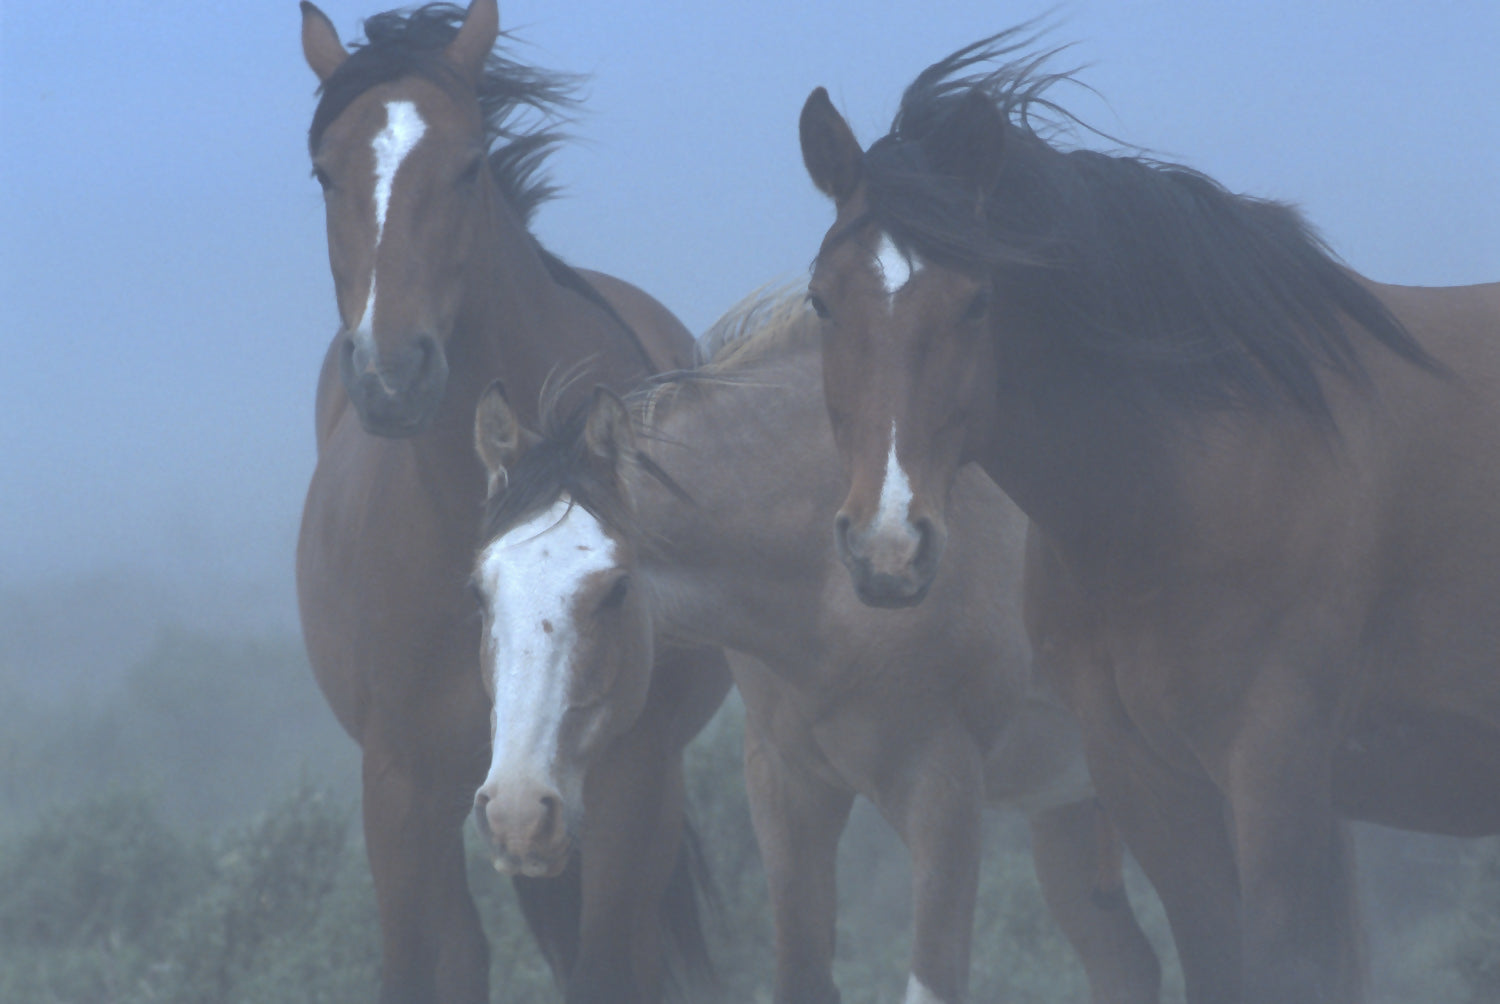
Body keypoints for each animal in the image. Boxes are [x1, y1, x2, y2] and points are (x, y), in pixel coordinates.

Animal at [291, 3, 726, 996]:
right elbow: (427, 963)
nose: (392, 373)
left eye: (469, 163)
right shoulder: (404, 791)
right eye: (324, 170)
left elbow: (611, 964)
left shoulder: (630, 777)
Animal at [465, 294, 1158, 1002]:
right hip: (1066, 808)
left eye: (616, 590)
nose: (519, 812)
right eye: (480, 591)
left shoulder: (944, 795)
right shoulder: (787, 789)